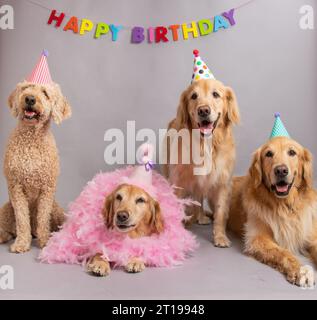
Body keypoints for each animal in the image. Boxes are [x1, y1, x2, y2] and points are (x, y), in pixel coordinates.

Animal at [0, 80, 71, 252]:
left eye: (45, 93)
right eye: (26, 88)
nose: (30, 99)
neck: (31, 138)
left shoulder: (47, 189)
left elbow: (43, 217)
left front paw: (45, 241)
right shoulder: (16, 187)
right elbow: (22, 219)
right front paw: (21, 243)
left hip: (57, 210)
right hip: (5, 210)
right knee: (9, 230)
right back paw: (4, 236)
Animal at [162, 79, 238, 248]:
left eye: (215, 94)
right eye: (193, 96)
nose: (203, 110)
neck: (206, 145)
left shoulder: (222, 182)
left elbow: (220, 212)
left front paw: (220, 237)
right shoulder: (179, 181)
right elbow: (177, 207)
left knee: (199, 198)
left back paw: (201, 217)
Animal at [227, 136, 316, 288]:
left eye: (292, 152)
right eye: (268, 154)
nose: (281, 170)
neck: (285, 206)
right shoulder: (257, 238)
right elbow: (283, 253)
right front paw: (301, 270)